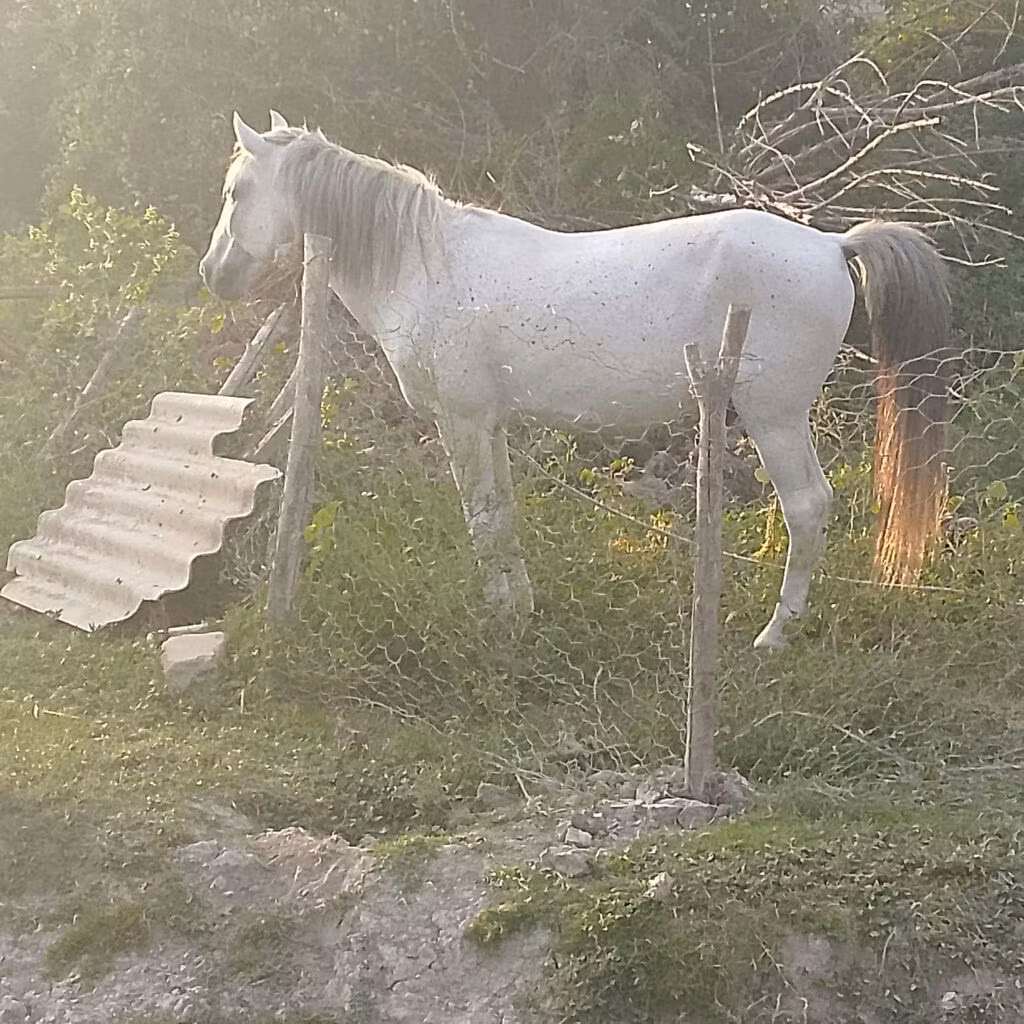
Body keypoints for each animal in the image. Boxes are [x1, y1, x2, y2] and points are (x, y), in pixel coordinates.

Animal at [199, 111, 953, 648]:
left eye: (239, 191)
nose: (215, 273)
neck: (427, 264)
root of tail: (830, 244)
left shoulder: (461, 421)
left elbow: (482, 520)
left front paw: (500, 622)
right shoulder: (489, 424)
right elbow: (501, 517)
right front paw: (518, 608)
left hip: (774, 416)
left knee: (807, 507)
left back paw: (775, 635)